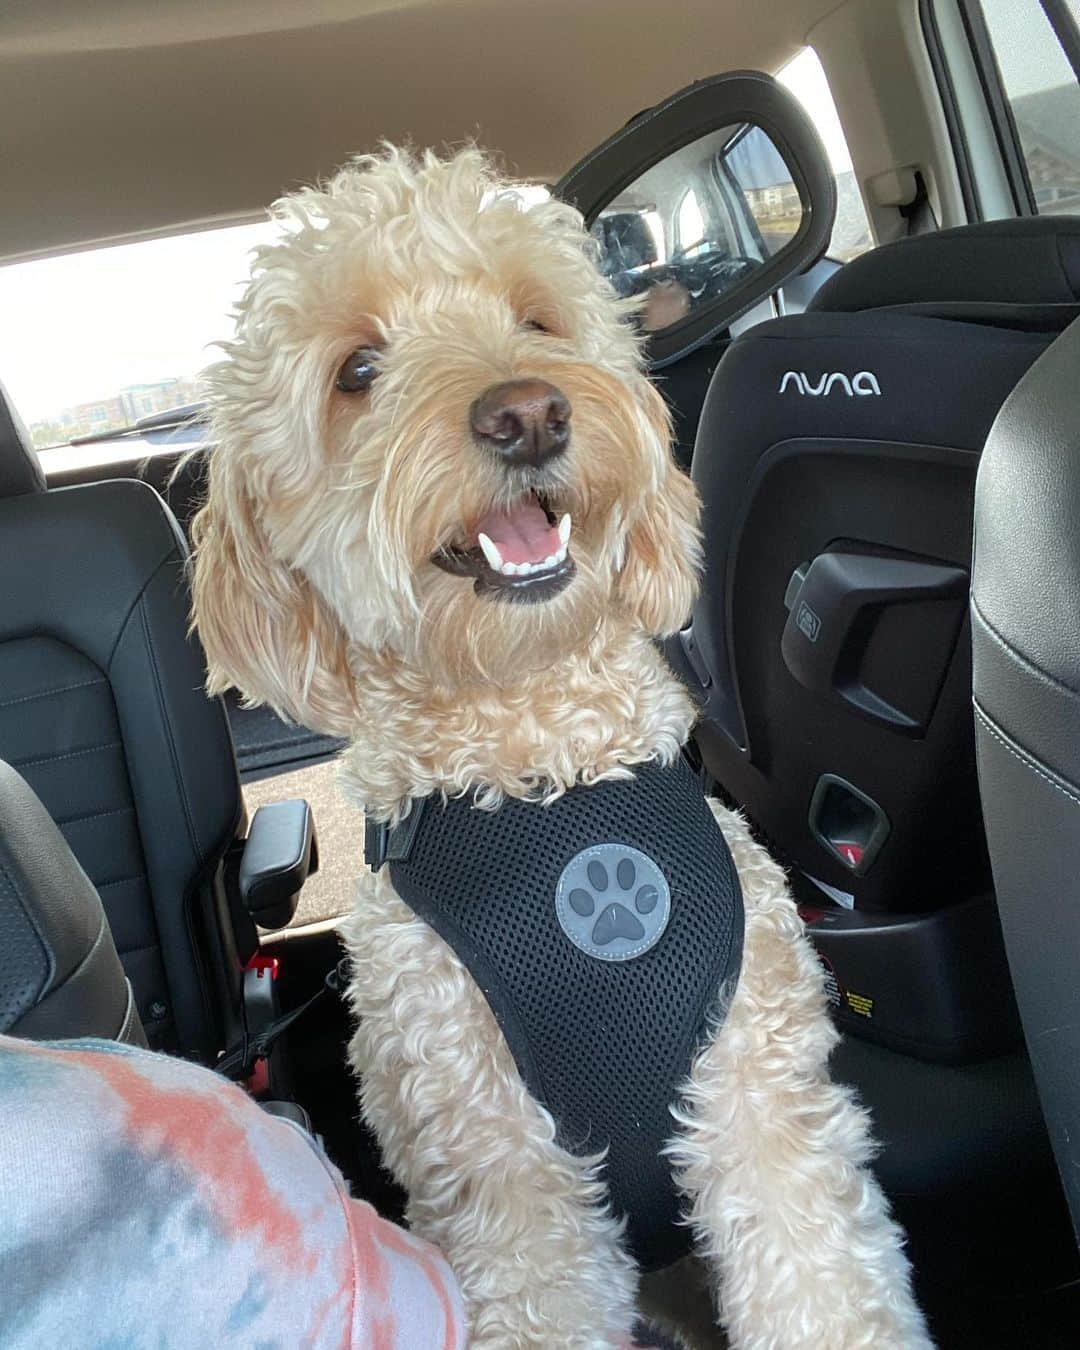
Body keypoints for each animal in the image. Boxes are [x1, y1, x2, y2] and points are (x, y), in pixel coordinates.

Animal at [190, 147, 934, 1350]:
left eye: (537, 320)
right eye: (357, 370)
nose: (528, 412)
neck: (545, 772)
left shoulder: (762, 1099)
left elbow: (824, 1282)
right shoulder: (503, 1184)